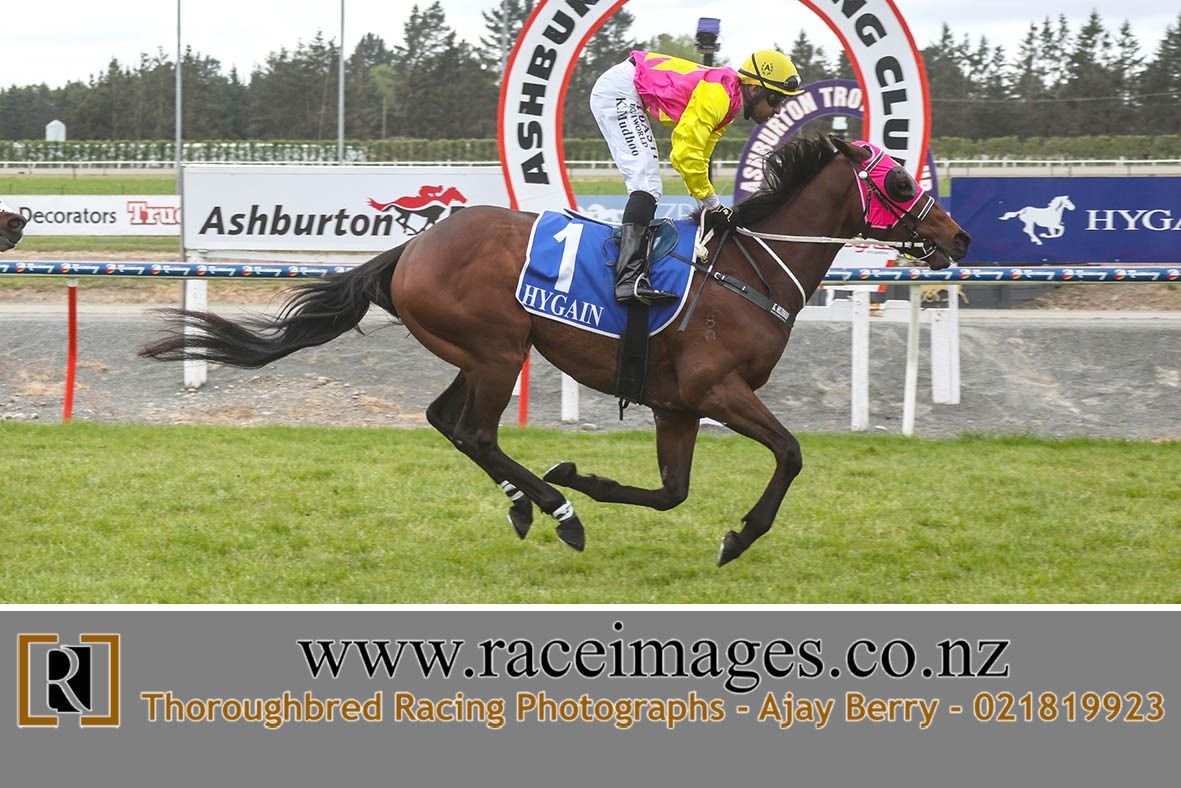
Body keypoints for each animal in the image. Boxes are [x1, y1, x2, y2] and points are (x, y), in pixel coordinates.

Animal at [140, 135, 971, 566]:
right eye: (900, 179)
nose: (958, 236)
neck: (746, 270)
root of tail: (411, 247)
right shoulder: (716, 392)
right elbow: (790, 454)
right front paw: (737, 536)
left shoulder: (676, 404)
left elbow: (671, 492)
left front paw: (587, 476)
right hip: (497, 348)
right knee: (474, 431)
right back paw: (557, 510)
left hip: (478, 353)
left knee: (446, 423)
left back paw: (528, 502)